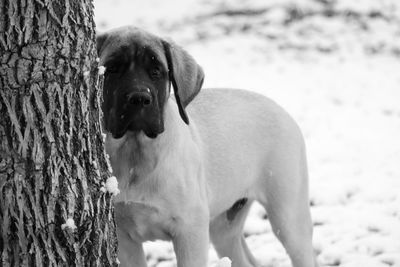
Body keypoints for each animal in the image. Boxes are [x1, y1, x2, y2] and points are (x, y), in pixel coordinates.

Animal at [97, 26, 318, 267]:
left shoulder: (190, 228)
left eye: (156, 71)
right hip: (224, 227)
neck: (135, 154)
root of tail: (281, 109)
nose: (139, 98)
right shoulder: (124, 239)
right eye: (112, 69)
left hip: (289, 217)